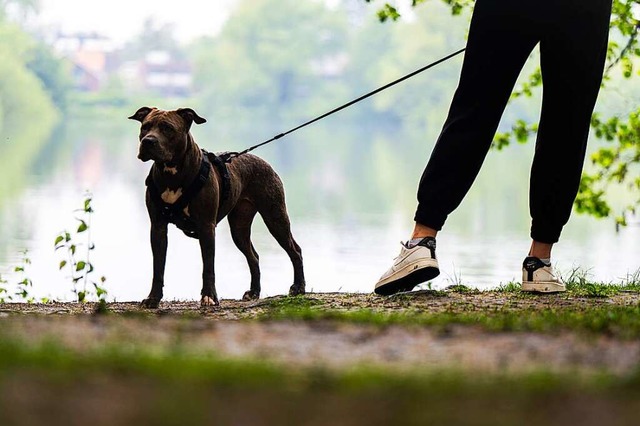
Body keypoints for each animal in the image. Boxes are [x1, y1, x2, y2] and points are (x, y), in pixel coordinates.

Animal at [129, 106, 304, 306]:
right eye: (145, 126)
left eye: (168, 128)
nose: (148, 141)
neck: (171, 173)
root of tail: (262, 160)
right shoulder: (158, 227)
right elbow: (158, 268)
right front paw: (153, 298)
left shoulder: (206, 226)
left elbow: (208, 266)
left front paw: (209, 296)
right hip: (239, 227)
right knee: (254, 256)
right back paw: (254, 291)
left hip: (275, 216)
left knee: (295, 250)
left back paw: (298, 287)